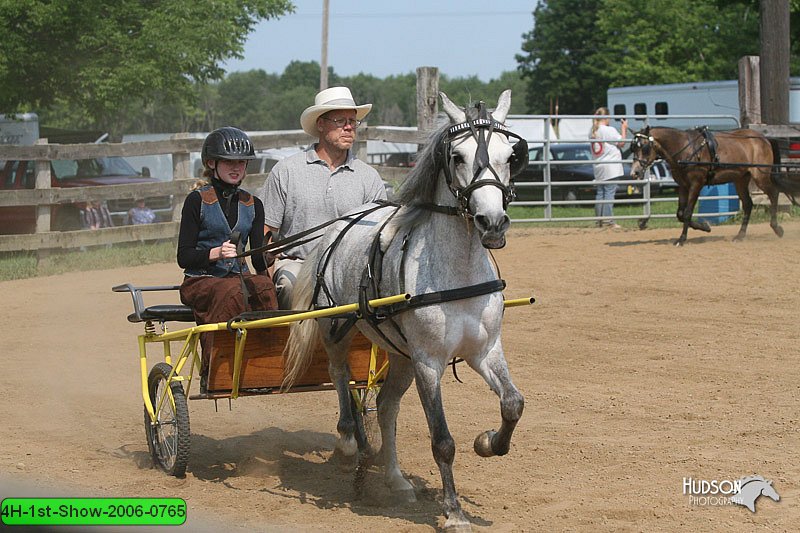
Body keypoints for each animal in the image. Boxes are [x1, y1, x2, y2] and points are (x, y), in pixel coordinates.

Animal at [284, 89, 528, 528]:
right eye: (457, 157)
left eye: (509, 155)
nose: (492, 222)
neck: (458, 273)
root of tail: (338, 227)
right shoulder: (429, 362)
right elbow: (442, 440)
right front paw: (453, 512)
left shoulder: (484, 350)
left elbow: (513, 404)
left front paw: (487, 442)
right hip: (336, 328)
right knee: (339, 376)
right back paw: (349, 445)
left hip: (399, 356)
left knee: (385, 406)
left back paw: (395, 479)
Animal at [636, 127, 784, 245]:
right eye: (634, 147)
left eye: (644, 147)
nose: (636, 171)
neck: (685, 149)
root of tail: (763, 139)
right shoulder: (683, 186)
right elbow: (680, 214)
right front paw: (705, 227)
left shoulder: (696, 184)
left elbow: (687, 213)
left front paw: (682, 239)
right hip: (740, 180)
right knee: (748, 204)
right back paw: (740, 236)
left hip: (760, 176)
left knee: (774, 193)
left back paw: (777, 229)